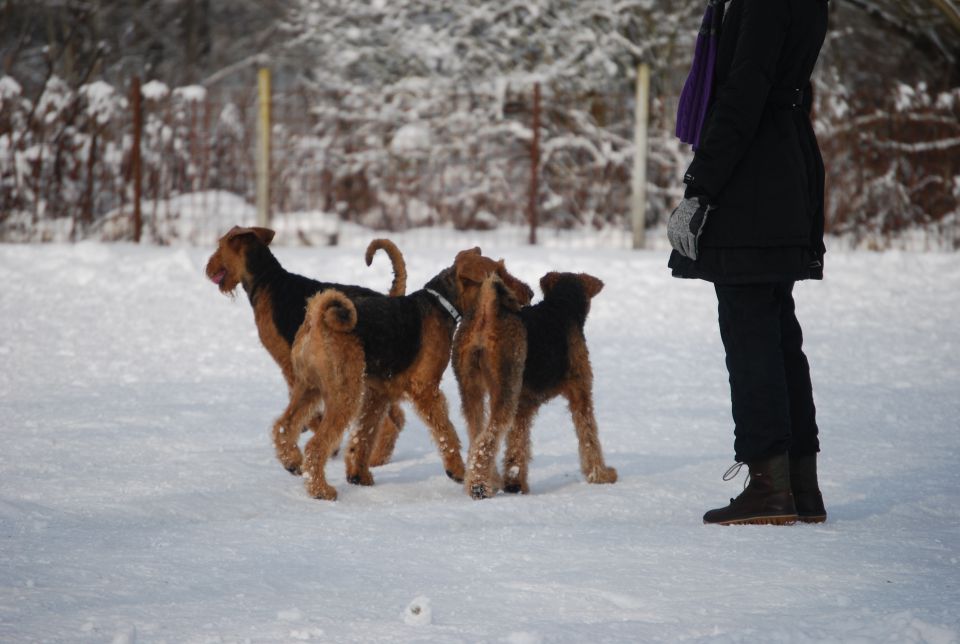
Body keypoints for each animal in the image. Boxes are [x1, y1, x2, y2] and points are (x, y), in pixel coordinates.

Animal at [205, 226, 404, 472]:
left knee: (390, 422)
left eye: (220, 245)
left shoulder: (289, 365)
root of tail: (391, 301)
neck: (266, 279)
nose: (207, 268)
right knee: (396, 418)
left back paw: (374, 460)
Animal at [278, 247, 532, 498]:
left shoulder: (378, 393)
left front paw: (359, 476)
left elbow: (363, 435)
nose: (529, 293)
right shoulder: (425, 388)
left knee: (283, 427)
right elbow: (446, 432)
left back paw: (291, 462)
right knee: (314, 446)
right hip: (344, 395)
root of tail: (315, 318)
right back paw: (321, 490)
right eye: (499, 273)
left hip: (309, 388)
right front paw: (458, 470)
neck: (441, 303)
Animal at [454, 270, 620, 498]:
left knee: (476, 436)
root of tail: (487, 312)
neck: (561, 307)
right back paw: (479, 487)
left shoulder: (524, 405)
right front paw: (601, 475)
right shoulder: (581, 393)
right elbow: (588, 436)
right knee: (486, 441)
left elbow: (517, 443)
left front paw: (514, 483)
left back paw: (490, 481)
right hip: (505, 391)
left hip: (471, 392)